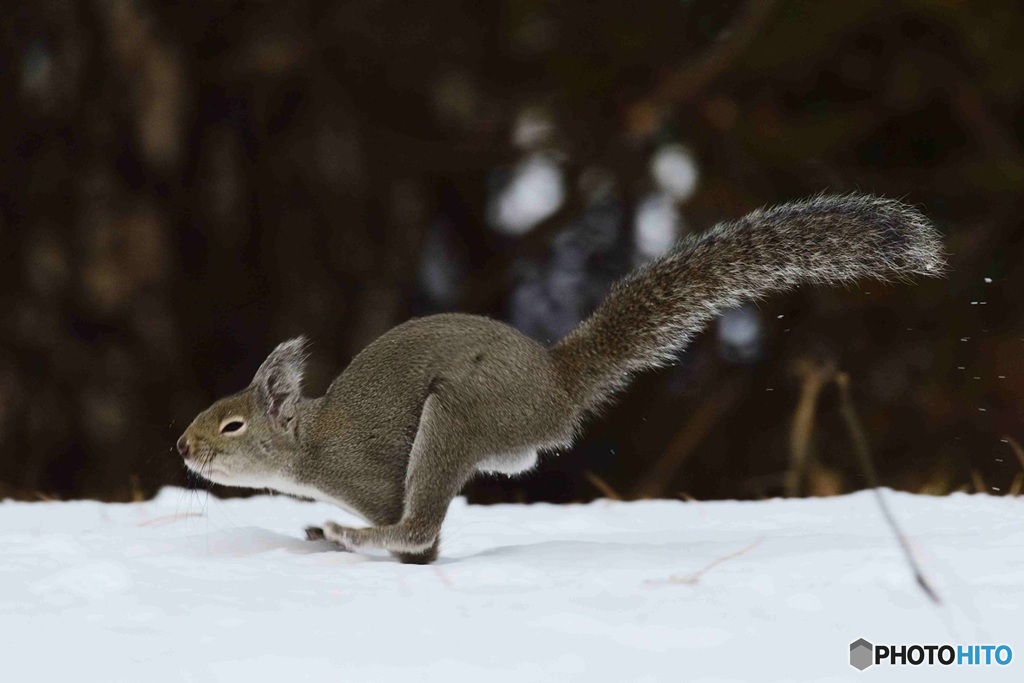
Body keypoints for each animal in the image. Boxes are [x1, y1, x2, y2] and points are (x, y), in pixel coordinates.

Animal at [178, 191, 942, 561]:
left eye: (232, 424)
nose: (183, 448)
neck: (310, 446)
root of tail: (556, 378)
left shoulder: (371, 477)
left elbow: (421, 534)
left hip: (460, 411)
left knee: (418, 522)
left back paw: (350, 536)